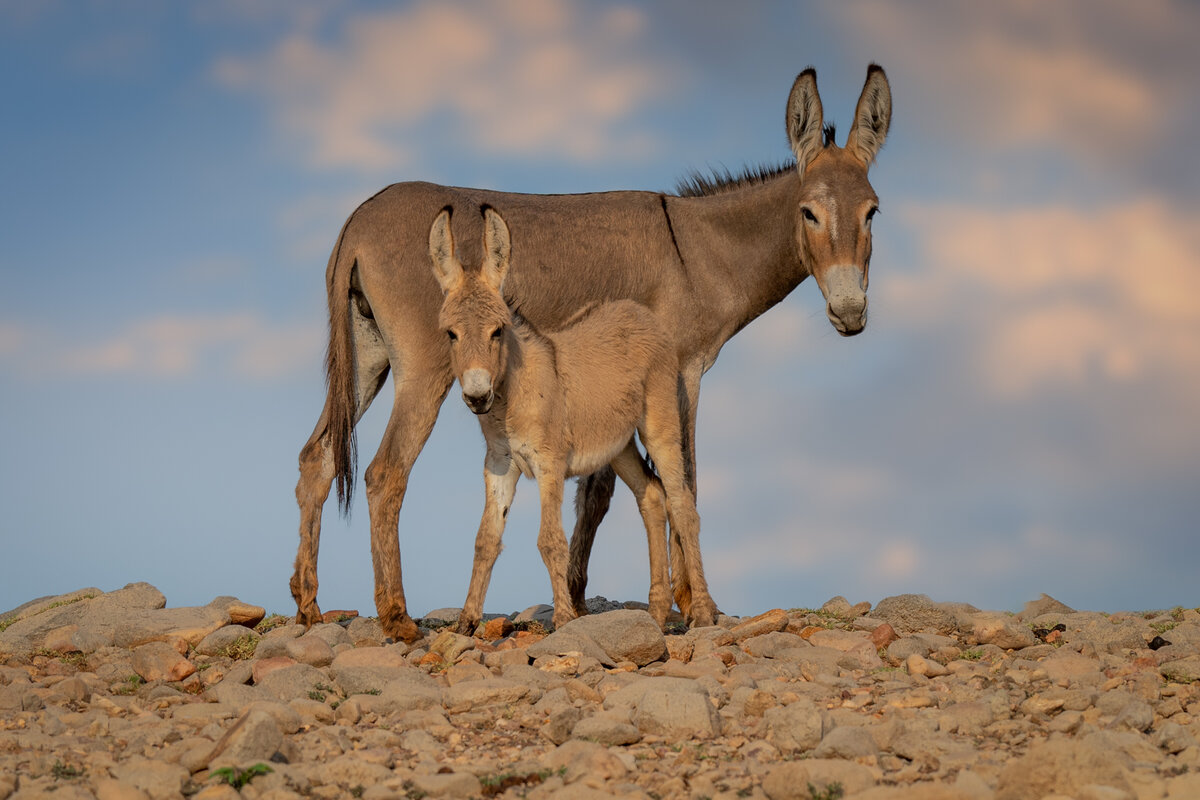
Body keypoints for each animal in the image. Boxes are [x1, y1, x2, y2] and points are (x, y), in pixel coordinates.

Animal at [427, 205, 707, 633]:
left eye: (497, 331)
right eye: (451, 334)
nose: (477, 396)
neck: (511, 397)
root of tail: (639, 312)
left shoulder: (549, 463)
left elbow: (551, 540)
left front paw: (562, 617)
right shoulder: (499, 465)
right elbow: (485, 539)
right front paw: (466, 621)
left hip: (659, 426)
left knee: (682, 503)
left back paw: (705, 612)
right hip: (619, 445)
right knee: (652, 495)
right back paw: (656, 613)